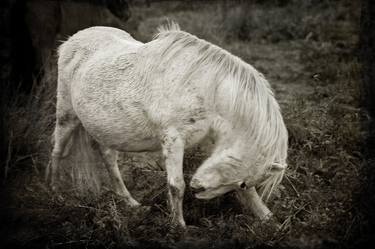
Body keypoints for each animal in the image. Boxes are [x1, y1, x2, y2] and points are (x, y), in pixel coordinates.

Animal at [48, 22, 290, 229]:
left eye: (242, 184)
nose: (198, 188)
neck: (206, 87)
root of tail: (71, 41)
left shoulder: (211, 141)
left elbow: (250, 196)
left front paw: (268, 218)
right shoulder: (173, 139)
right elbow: (176, 185)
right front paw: (178, 227)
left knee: (108, 159)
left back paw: (130, 203)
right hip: (67, 117)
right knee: (58, 152)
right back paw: (55, 194)